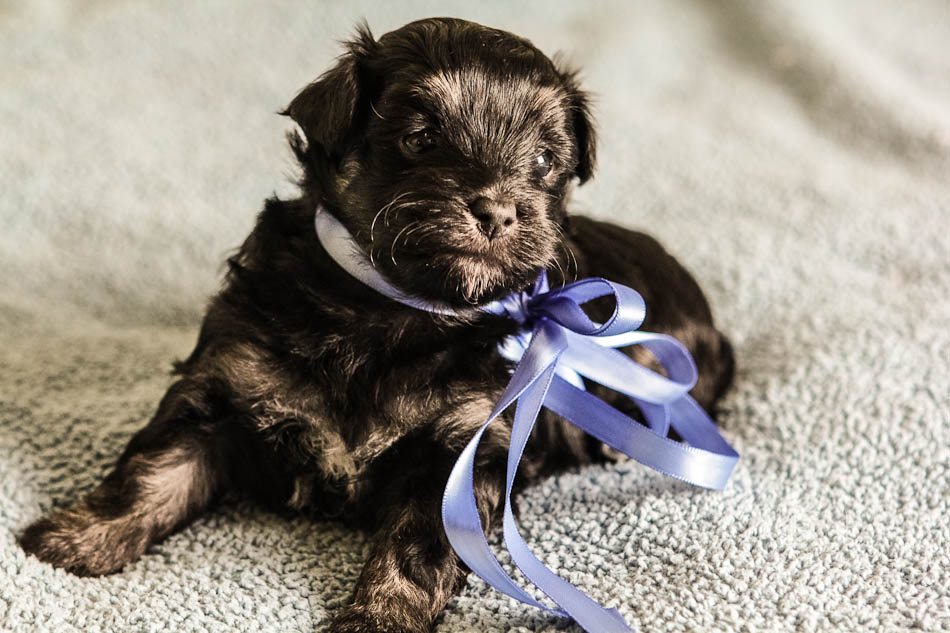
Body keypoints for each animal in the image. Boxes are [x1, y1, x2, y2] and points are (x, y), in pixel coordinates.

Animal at [20, 16, 736, 632]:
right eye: (420, 139)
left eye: (543, 163)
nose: (499, 209)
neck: (392, 311)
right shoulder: (225, 381)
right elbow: (152, 472)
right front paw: (72, 539)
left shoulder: (459, 448)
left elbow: (416, 548)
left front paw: (378, 618)